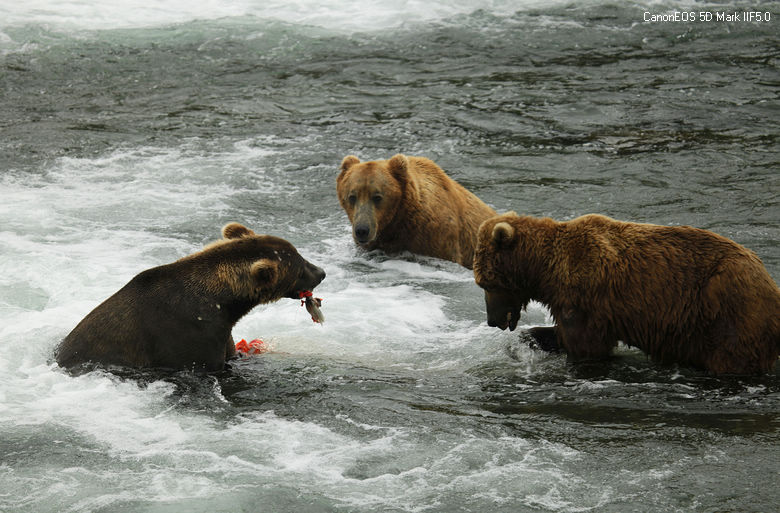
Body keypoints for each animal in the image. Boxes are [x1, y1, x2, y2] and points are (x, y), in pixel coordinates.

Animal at [54, 222, 322, 370]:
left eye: (299, 254)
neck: (223, 304)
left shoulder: (222, 332)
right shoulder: (189, 335)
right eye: (299, 268)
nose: (321, 272)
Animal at [472, 210, 780, 374]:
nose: (492, 320)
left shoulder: (586, 298)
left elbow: (586, 347)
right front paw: (527, 340)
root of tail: (769, 281)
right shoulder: (573, 303)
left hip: (727, 308)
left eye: (486, 283)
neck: (547, 271)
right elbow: (560, 335)